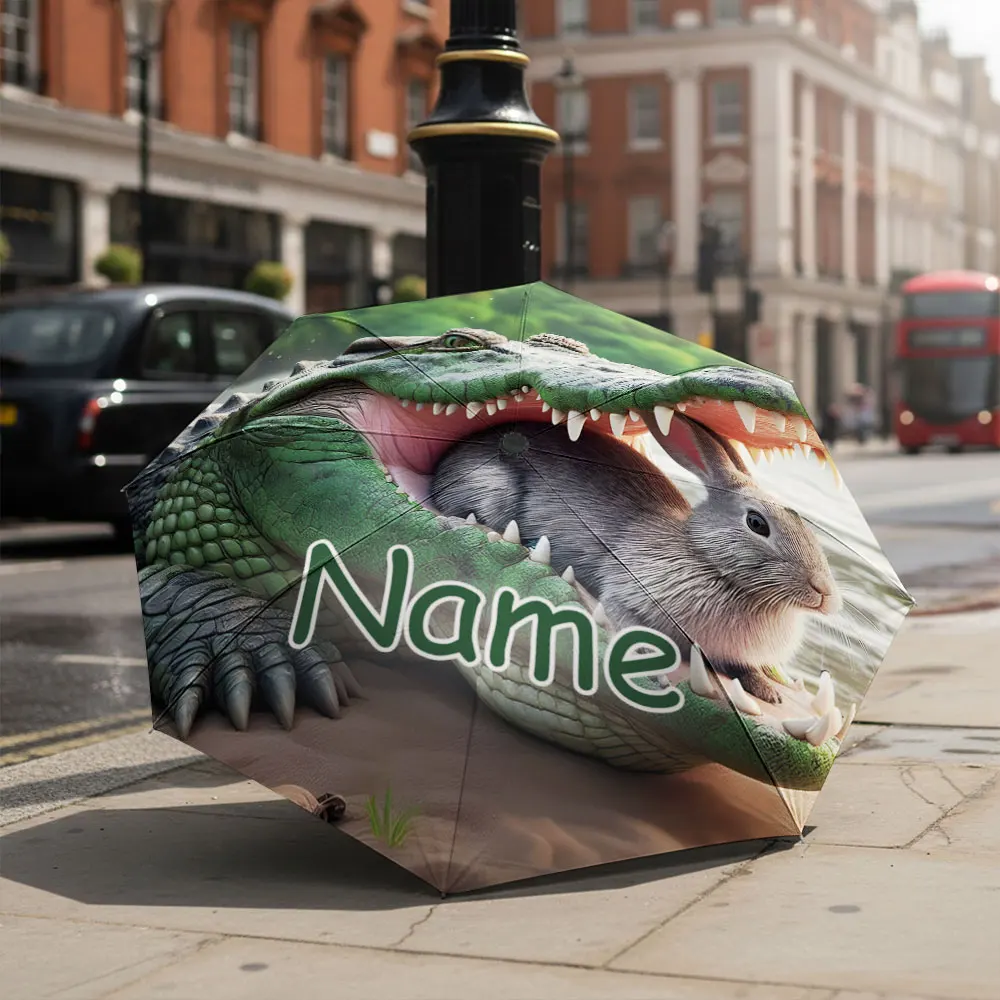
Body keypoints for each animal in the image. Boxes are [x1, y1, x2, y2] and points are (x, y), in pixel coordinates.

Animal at [428, 412, 842, 705]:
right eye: (757, 523)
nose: (825, 594)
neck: (706, 559)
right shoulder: (627, 594)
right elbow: (632, 628)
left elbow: (744, 670)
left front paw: (769, 691)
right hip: (491, 490)